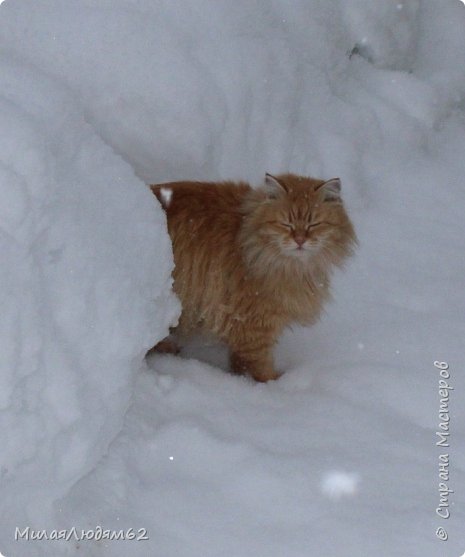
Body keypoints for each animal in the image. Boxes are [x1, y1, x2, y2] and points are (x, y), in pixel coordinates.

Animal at [149, 174, 356, 382]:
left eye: (314, 224)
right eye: (286, 224)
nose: (299, 240)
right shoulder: (253, 322)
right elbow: (258, 363)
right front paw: (272, 383)